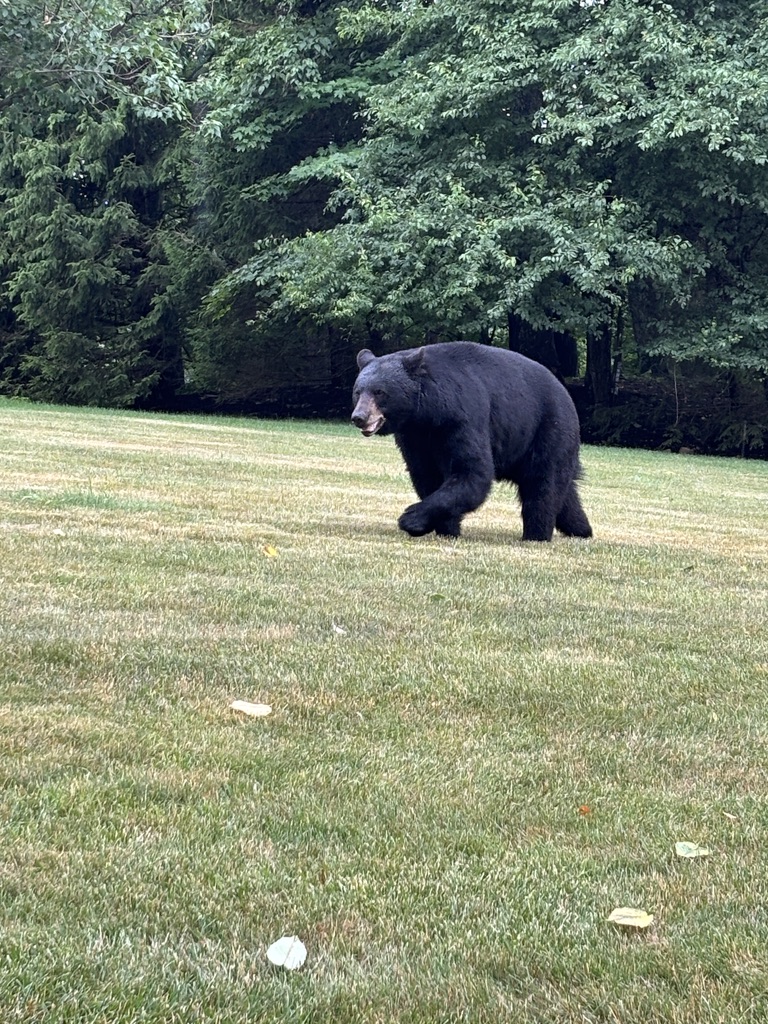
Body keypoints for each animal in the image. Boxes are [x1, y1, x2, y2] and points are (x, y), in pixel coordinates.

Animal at [350, 341, 592, 542]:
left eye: (379, 392)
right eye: (357, 392)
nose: (359, 417)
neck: (428, 415)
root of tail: (566, 393)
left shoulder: (463, 419)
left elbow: (472, 472)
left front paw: (411, 519)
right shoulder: (414, 437)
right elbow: (426, 474)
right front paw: (446, 529)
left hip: (548, 430)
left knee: (543, 484)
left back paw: (536, 535)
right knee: (564, 491)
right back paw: (581, 529)